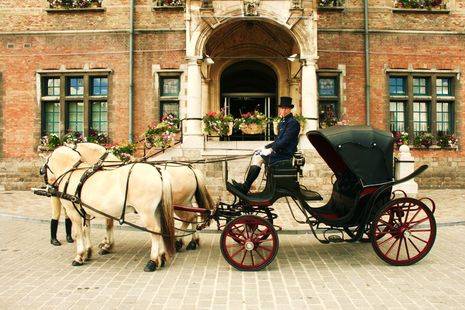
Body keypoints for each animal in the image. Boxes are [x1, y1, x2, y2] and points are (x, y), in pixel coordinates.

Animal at [42, 145, 174, 272]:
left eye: (45, 167)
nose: (48, 187)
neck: (73, 174)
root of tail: (157, 171)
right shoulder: (85, 212)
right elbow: (86, 231)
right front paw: (88, 253)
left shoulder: (73, 212)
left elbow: (79, 233)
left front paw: (79, 256)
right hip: (155, 211)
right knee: (160, 230)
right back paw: (161, 257)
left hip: (146, 213)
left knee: (155, 231)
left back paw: (152, 261)